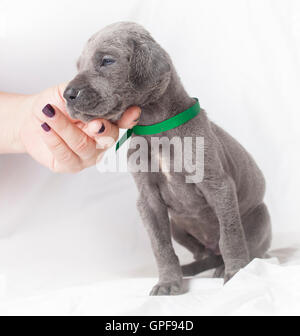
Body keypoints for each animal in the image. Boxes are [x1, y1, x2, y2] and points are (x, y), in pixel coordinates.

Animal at [63, 21, 272, 294]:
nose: (67, 94)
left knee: (247, 248)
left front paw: (236, 273)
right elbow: (160, 247)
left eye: (107, 61)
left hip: (260, 217)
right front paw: (168, 282)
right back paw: (196, 267)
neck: (155, 128)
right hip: (177, 226)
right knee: (204, 254)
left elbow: (231, 235)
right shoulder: (149, 201)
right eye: (79, 66)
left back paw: (232, 265)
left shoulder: (219, 186)